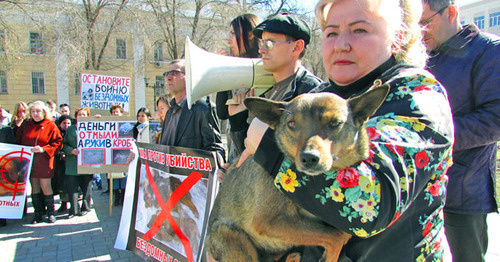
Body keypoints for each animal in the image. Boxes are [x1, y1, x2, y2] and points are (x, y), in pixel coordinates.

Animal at [205, 85, 388, 260]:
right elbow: (334, 236)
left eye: (335, 123)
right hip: (227, 233)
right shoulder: (269, 221)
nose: (309, 158)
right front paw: (330, 256)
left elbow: (341, 232)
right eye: (292, 124)